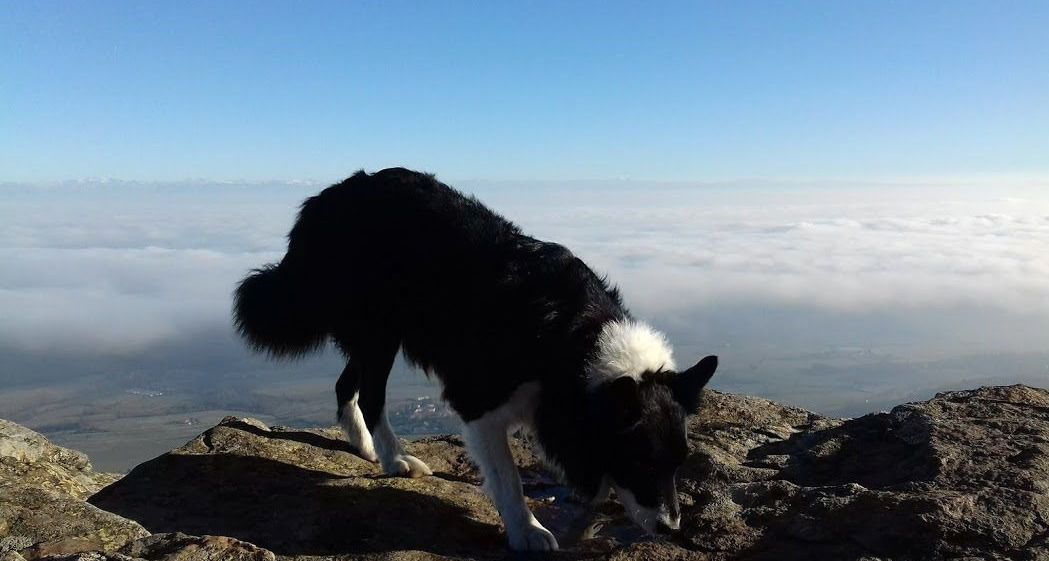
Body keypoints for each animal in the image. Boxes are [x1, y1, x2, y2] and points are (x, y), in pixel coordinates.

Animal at [233, 167, 717, 553]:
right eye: (642, 461)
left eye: (679, 464)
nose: (672, 529)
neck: (573, 340)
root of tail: (330, 196)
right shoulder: (477, 401)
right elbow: (508, 478)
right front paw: (527, 531)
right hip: (379, 330)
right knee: (370, 394)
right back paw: (394, 459)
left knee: (344, 385)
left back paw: (366, 447)